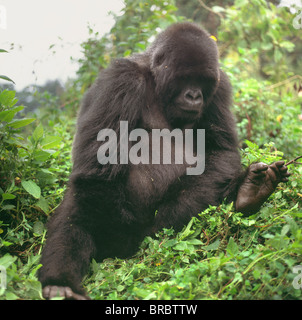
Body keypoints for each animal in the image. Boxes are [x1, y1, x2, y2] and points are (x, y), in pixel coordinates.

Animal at [38, 23, 290, 300]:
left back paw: (250, 193)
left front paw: (166, 224)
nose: (194, 96)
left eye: (203, 81)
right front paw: (120, 243)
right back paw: (61, 284)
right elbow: (98, 166)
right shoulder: (120, 79)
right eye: (185, 78)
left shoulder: (219, 87)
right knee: (79, 208)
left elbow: (220, 151)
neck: (155, 79)